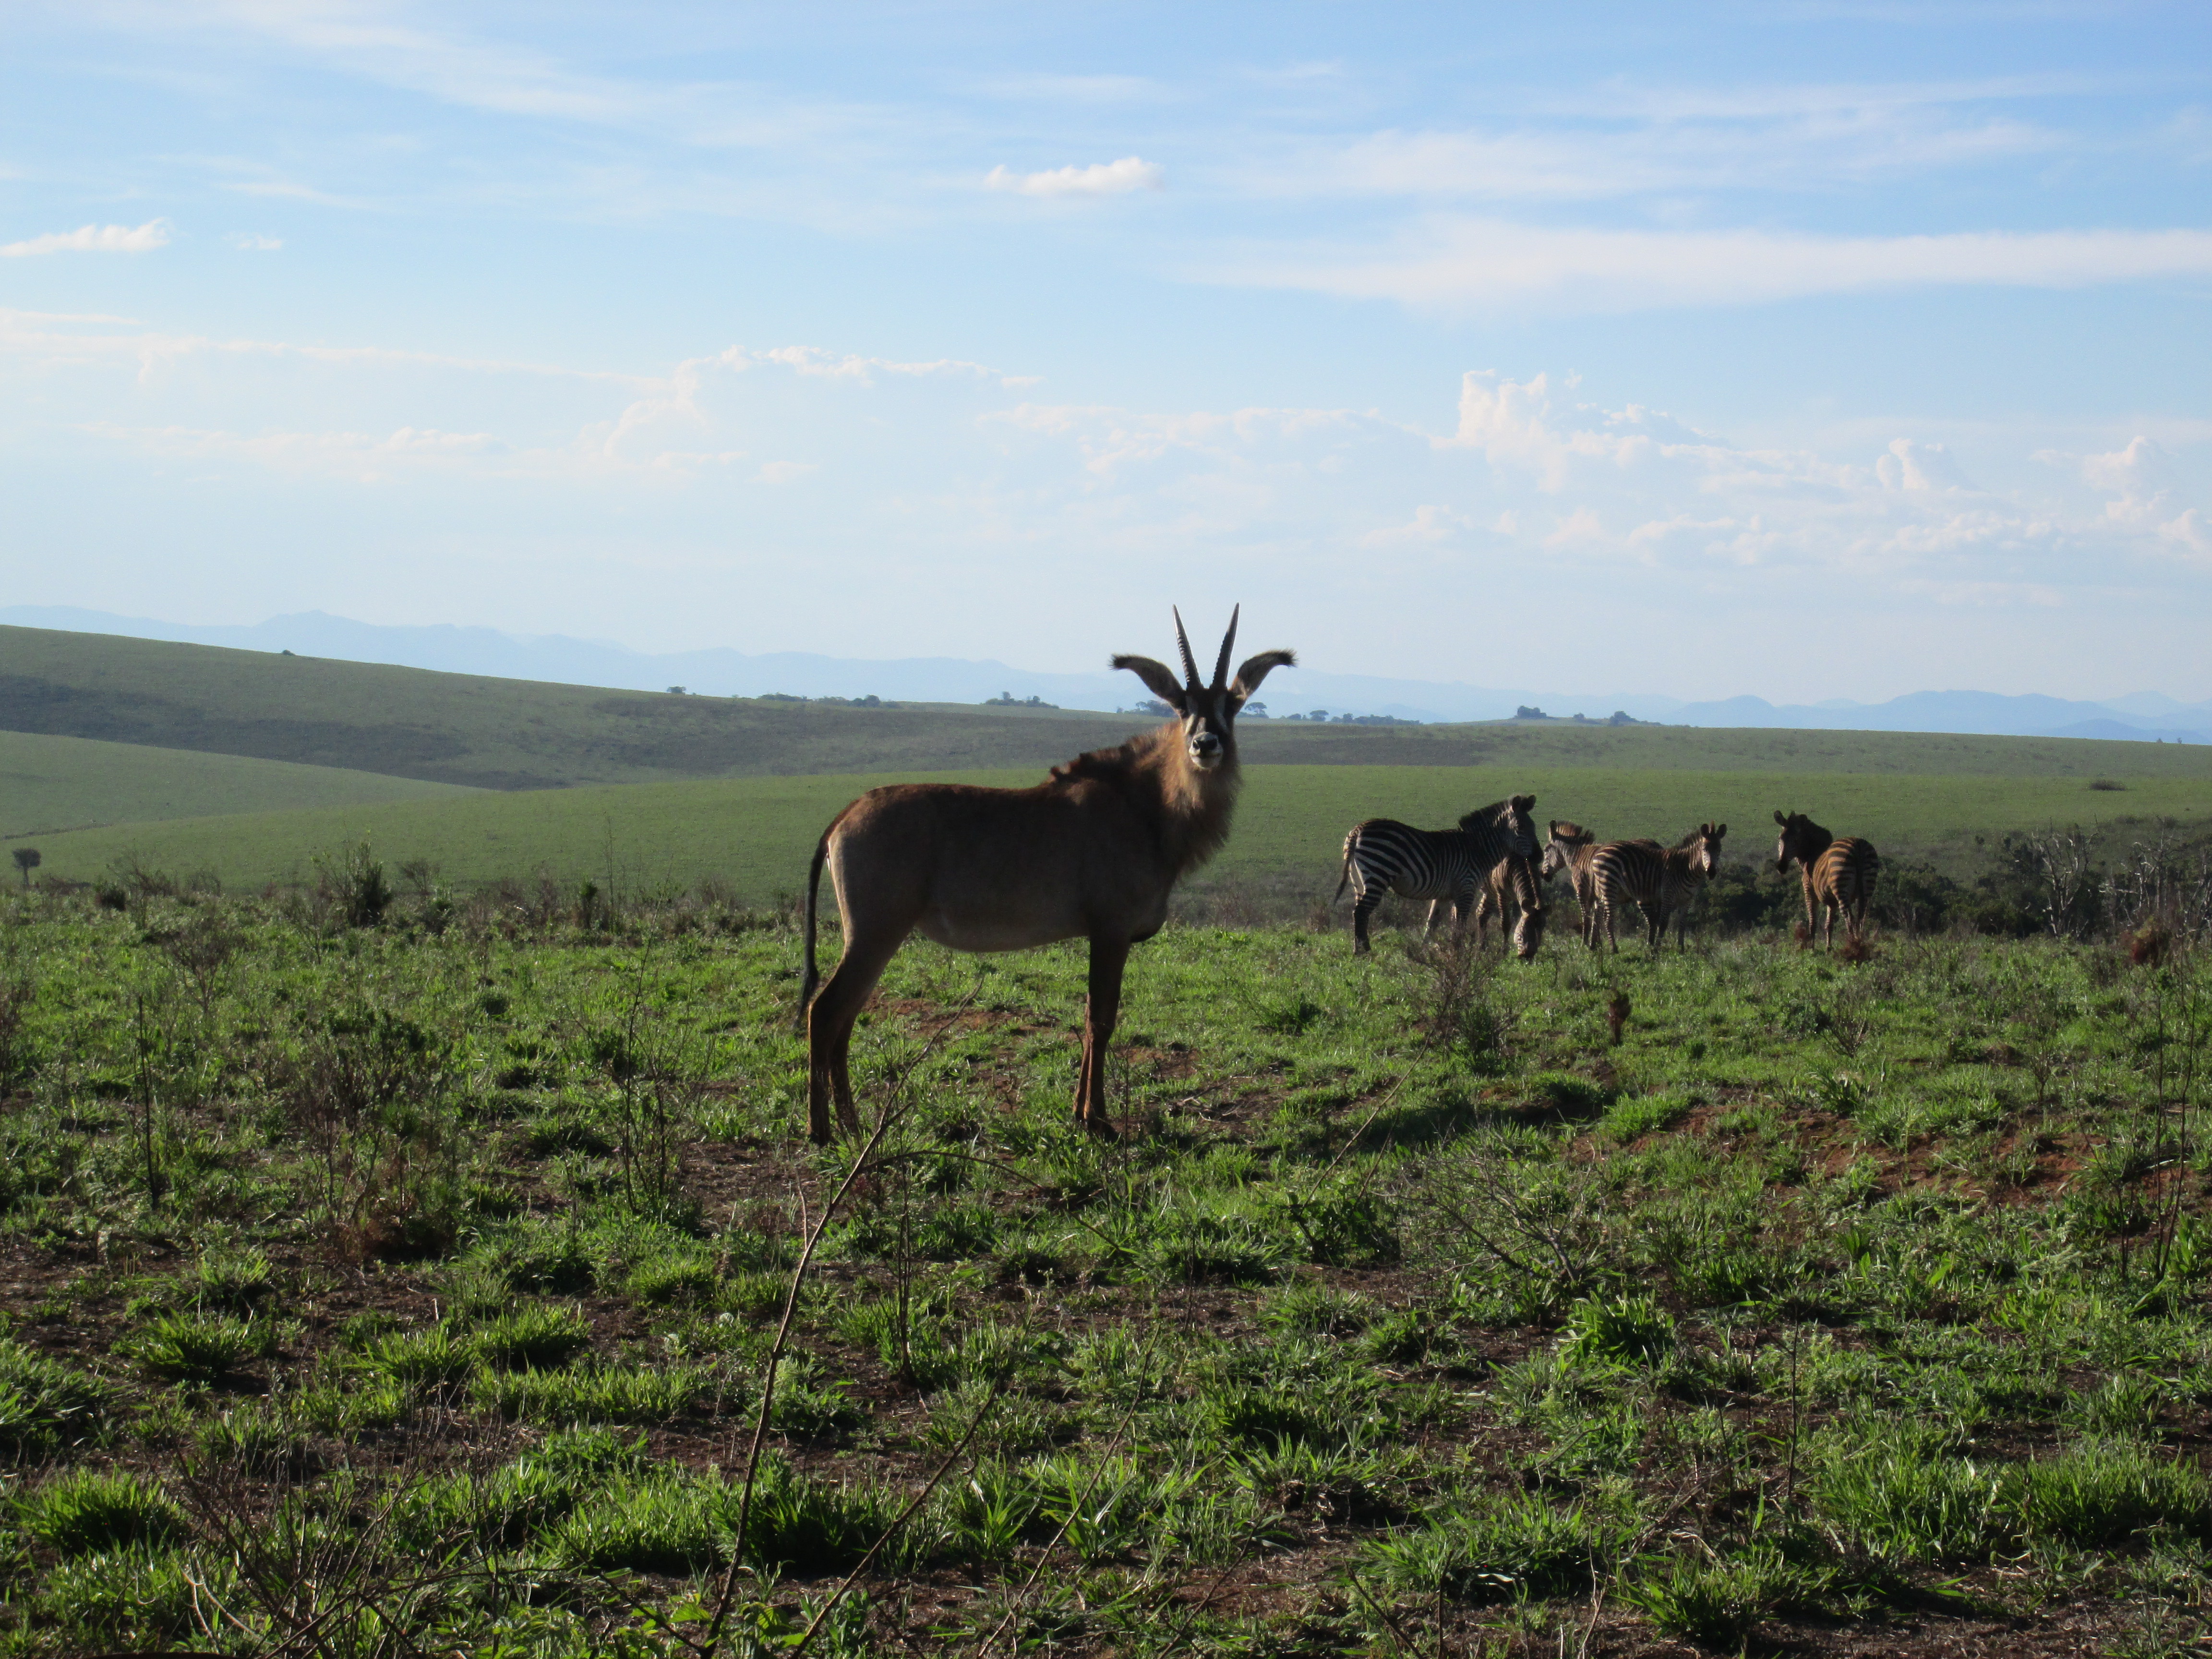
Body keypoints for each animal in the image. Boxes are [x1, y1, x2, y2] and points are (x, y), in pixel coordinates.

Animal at [796, 609, 1294, 1143]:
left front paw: (1080, 1112)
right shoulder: (1111, 931)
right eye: (1182, 707)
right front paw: (1097, 1119)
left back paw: (851, 1124)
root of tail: (846, 815)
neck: (1145, 805)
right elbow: (1102, 1019)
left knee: (845, 1017)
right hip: (875, 933)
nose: (1206, 743)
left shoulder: (1102, 935)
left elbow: (1090, 1015)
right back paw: (821, 1130)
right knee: (825, 1011)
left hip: (873, 938)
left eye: (1232, 705)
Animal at [1589, 823, 1727, 952]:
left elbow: (1682, 924)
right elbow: (1663, 924)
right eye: (1704, 850)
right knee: (1608, 919)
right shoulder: (1668, 894)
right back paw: (1614, 949)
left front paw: (1681, 949)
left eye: (1720, 850)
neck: (1687, 868)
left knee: (1598, 913)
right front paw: (1656, 950)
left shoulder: (1687, 900)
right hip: (1609, 885)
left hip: (1608, 889)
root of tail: (1600, 850)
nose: (1711, 873)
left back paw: (1595, 946)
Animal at [1774, 810, 1880, 946]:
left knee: (1849, 918)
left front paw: (1812, 949)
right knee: (1862, 918)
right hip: (1867, 887)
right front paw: (1828, 949)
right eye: (1780, 839)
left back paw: (1852, 944)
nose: (1781, 867)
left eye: (1796, 840)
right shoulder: (1831, 901)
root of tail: (1858, 845)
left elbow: (1813, 922)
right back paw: (1859, 942)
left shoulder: (1809, 891)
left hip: (1841, 887)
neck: (1812, 855)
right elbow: (1829, 925)